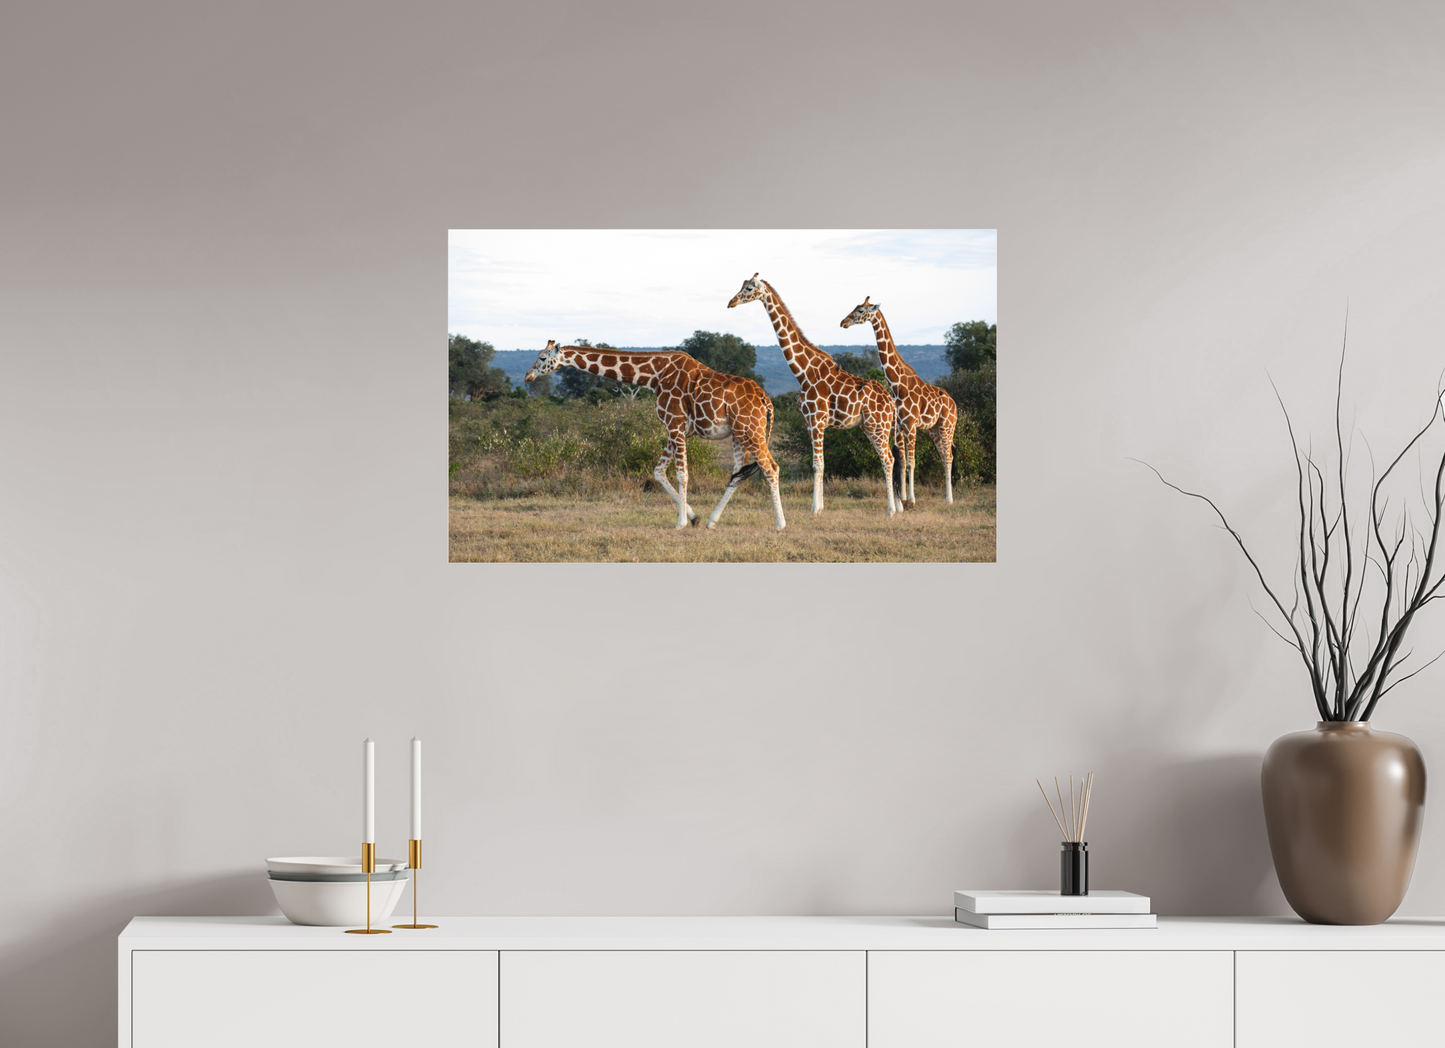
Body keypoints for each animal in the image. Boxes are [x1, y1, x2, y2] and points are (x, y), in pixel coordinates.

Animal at [524, 341, 786, 530]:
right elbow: (658, 472)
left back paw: (780, 524)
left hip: (751, 429)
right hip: (738, 433)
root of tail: (766, 399)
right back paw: (712, 522)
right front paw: (694, 518)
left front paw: (680, 523)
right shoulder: (674, 429)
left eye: (543, 358)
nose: (528, 376)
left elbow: (682, 474)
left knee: (770, 468)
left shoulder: (675, 424)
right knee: (738, 473)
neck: (654, 375)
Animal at [727, 274, 897, 516]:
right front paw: (820, 506)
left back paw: (892, 510)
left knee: (888, 458)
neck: (803, 371)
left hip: (878, 426)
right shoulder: (809, 422)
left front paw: (814, 509)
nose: (731, 302)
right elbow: (819, 463)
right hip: (871, 426)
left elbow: (818, 464)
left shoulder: (816, 419)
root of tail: (891, 402)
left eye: (749, 288)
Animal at [840, 297, 959, 506]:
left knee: (949, 456)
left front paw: (911, 500)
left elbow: (911, 462)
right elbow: (902, 461)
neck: (897, 384)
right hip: (934, 429)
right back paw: (946, 497)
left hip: (947, 425)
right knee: (944, 456)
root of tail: (954, 404)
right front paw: (902, 499)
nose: (843, 322)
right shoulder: (898, 426)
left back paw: (949, 499)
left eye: (861, 310)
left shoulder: (911, 425)